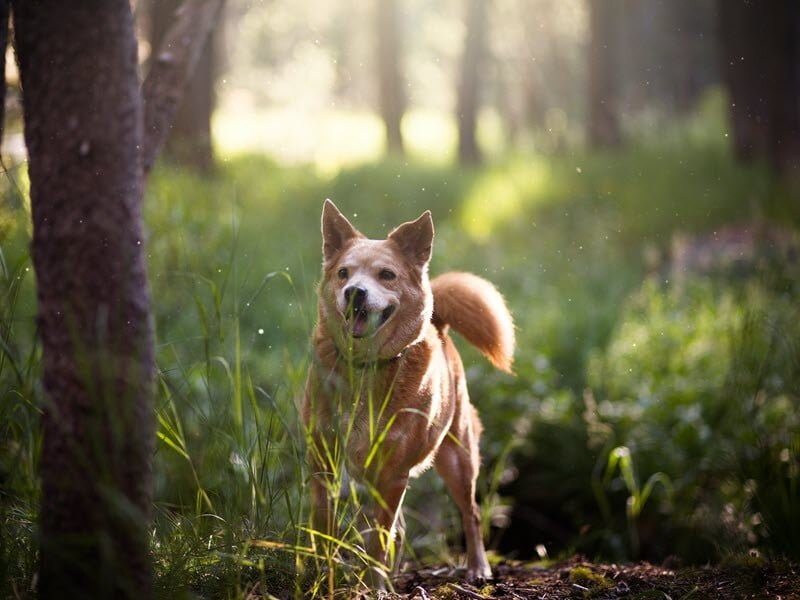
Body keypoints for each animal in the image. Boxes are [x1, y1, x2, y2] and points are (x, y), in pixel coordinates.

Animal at [304, 199, 516, 588]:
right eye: (343, 273)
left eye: (386, 275)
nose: (354, 292)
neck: (366, 369)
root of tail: (439, 324)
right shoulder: (323, 460)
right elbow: (324, 525)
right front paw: (322, 575)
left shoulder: (393, 473)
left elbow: (378, 539)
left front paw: (372, 585)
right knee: (399, 528)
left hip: (458, 459)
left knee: (471, 513)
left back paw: (477, 567)